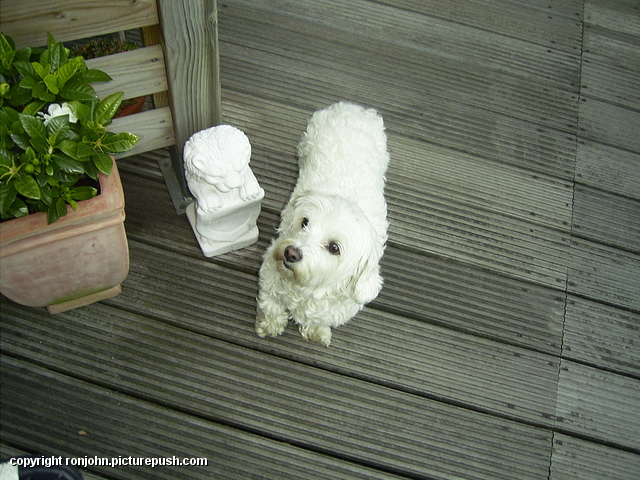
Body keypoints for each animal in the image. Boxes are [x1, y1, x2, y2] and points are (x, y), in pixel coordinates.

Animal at [256, 103, 390, 346]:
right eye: (305, 222)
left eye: (334, 248)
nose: (291, 252)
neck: (304, 289)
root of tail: (354, 108)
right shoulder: (269, 275)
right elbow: (271, 307)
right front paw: (269, 326)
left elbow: (317, 320)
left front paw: (315, 331)